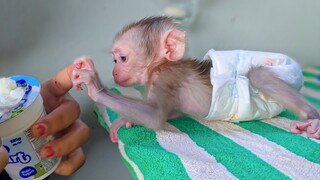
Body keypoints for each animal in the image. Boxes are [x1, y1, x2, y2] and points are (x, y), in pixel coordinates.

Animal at [71, 15, 318, 142]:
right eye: (114, 60)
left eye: (122, 58)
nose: (114, 72)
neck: (159, 68)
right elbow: (171, 113)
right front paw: (126, 119)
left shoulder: (167, 77)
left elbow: (156, 116)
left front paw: (95, 85)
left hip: (285, 71)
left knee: (258, 74)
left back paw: (313, 119)